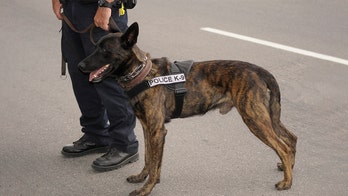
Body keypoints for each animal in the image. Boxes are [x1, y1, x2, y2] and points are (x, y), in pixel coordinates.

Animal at [78, 22, 296, 195]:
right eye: (95, 47)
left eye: (104, 50)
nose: (80, 65)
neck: (142, 74)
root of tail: (259, 70)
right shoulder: (148, 128)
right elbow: (149, 158)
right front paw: (142, 177)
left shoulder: (157, 131)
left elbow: (155, 163)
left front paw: (146, 189)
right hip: (266, 115)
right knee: (291, 137)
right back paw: (289, 169)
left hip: (254, 118)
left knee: (283, 147)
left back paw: (286, 182)